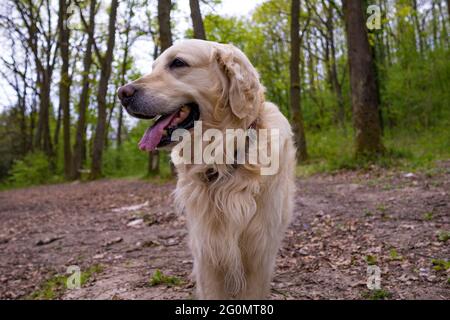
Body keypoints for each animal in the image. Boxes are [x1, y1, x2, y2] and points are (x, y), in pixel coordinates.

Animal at [118, 40, 298, 300]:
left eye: (178, 63)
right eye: (153, 67)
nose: (122, 93)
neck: (223, 156)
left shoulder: (259, 252)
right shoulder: (207, 251)